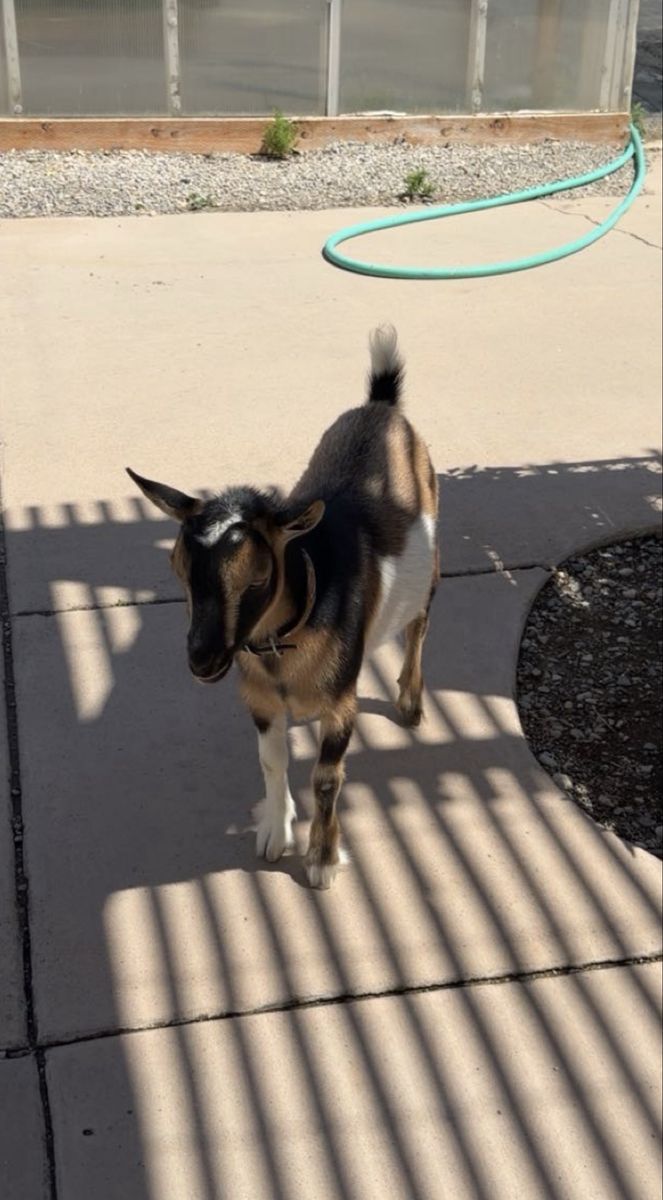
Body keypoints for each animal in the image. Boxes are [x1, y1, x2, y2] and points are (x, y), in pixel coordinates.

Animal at [127, 326, 438, 889]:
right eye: (176, 568)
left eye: (259, 576)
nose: (201, 659)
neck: (284, 643)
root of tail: (382, 404)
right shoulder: (260, 700)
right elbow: (271, 762)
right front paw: (275, 832)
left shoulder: (342, 701)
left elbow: (327, 777)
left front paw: (322, 861)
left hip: (432, 563)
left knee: (418, 627)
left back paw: (410, 702)